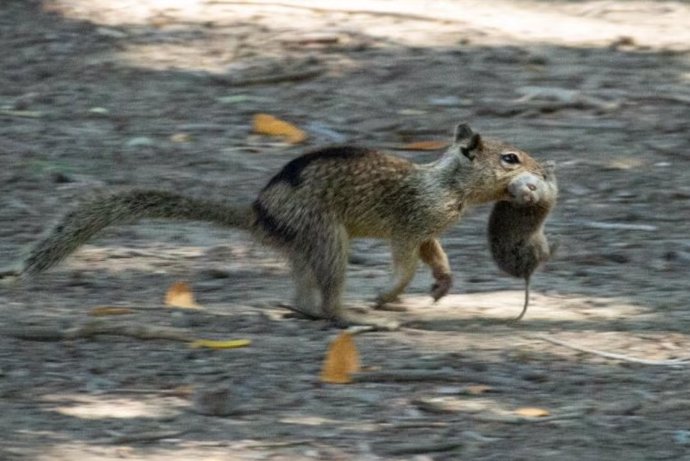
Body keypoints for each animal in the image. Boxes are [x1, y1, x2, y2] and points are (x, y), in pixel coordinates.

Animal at [14, 122, 548, 324]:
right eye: (510, 158)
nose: (544, 172)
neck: (447, 185)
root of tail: (258, 214)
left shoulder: (428, 231)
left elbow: (435, 255)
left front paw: (442, 284)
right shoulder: (410, 223)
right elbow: (406, 263)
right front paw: (389, 293)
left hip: (305, 246)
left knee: (304, 290)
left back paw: (300, 309)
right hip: (327, 237)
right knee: (329, 295)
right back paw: (350, 316)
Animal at [486, 162, 556, 320]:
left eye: (532, 187)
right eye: (513, 195)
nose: (529, 198)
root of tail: (526, 273)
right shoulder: (549, 194)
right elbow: (553, 185)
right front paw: (549, 167)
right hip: (538, 244)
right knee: (546, 256)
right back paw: (556, 242)